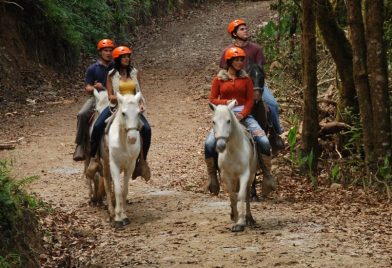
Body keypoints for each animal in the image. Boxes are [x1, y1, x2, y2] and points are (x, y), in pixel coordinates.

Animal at [101, 91, 142, 228]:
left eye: (139, 113)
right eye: (123, 113)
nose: (132, 138)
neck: (124, 143)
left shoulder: (130, 165)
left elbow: (124, 190)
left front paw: (124, 215)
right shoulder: (114, 164)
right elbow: (118, 190)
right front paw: (118, 219)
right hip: (105, 162)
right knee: (107, 184)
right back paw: (111, 211)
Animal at [210, 101, 258, 232]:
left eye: (228, 121)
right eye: (213, 121)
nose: (221, 145)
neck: (232, 152)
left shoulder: (244, 174)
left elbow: (241, 196)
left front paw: (240, 223)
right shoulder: (226, 176)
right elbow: (232, 197)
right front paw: (236, 218)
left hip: (251, 176)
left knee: (247, 194)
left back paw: (249, 218)